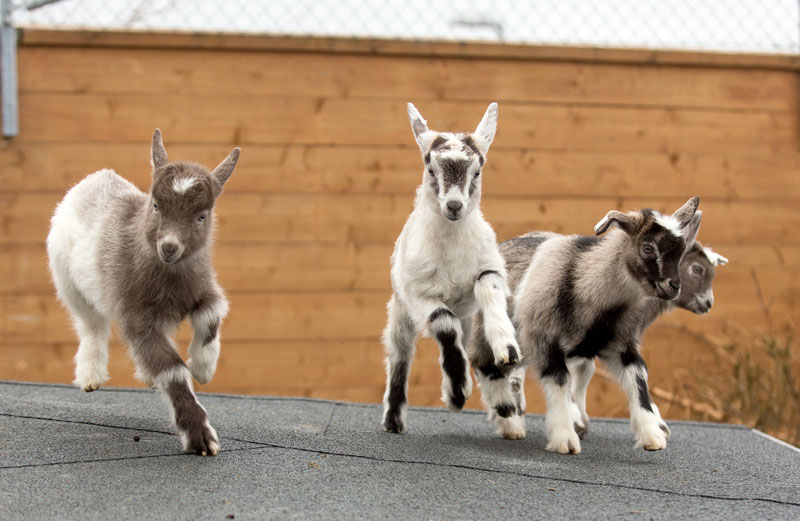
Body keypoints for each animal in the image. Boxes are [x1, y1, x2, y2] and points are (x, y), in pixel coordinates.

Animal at [46, 129, 239, 455]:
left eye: (202, 215)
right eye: (156, 205)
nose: (169, 247)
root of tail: (93, 179)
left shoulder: (204, 287)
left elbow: (212, 315)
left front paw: (203, 368)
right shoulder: (137, 317)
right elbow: (171, 371)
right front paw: (201, 439)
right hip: (69, 283)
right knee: (91, 326)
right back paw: (90, 377)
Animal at [381, 103, 519, 433]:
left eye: (477, 171)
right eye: (432, 169)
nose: (454, 206)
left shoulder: (488, 268)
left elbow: (488, 289)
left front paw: (506, 349)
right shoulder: (419, 293)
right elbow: (444, 326)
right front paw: (458, 389)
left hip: (466, 315)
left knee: (465, 341)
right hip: (400, 309)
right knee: (400, 353)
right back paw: (394, 419)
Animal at [469, 197, 701, 453]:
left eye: (681, 249)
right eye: (648, 247)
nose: (674, 286)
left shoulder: (622, 344)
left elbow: (638, 379)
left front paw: (652, 435)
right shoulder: (543, 338)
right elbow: (559, 382)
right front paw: (565, 439)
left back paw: (509, 423)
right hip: (495, 336)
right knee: (483, 364)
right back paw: (506, 412)